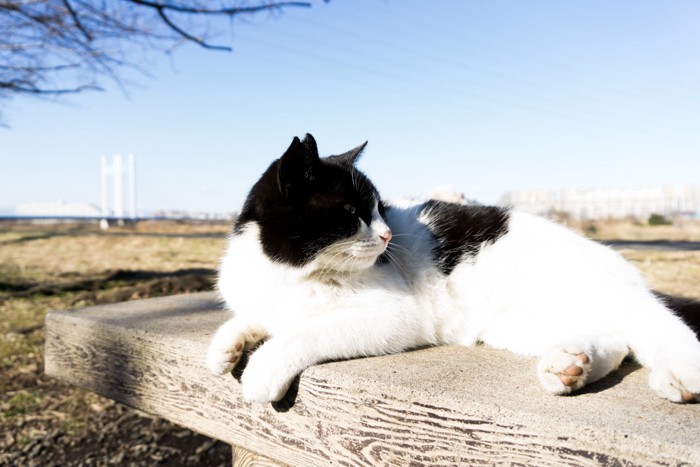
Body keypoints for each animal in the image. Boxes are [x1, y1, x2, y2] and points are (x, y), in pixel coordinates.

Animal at [206, 133, 700, 404]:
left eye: (379, 208)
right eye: (352, 213)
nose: (387, 235)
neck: (290, 273)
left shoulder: (396, 316)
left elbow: (304, 333)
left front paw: (262, 371)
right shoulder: (267, 303)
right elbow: (254, 318)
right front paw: (225, 348)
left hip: (592, 289)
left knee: (654, 323)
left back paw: (680, 376)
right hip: (515, 325)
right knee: (618, 339)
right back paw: (569, 366)